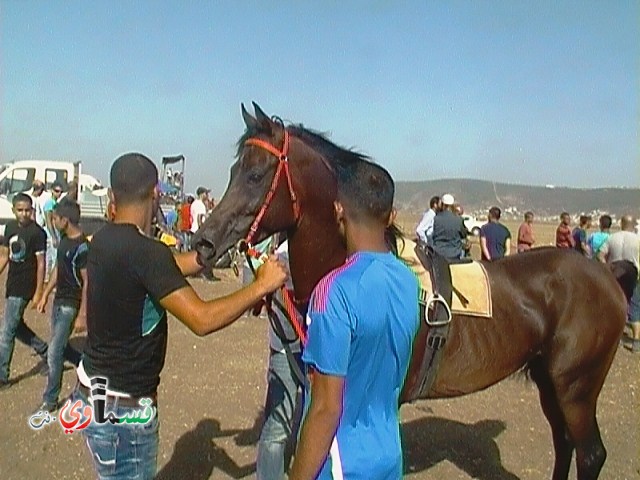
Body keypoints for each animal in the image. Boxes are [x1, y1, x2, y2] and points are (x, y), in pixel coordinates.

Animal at [192, 105, 628, 480]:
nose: (204, 242)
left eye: (255, 174)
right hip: (549, 381)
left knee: (590, 453)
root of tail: (605, 276)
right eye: (233, 170)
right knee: (565, 444)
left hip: (576, 387)